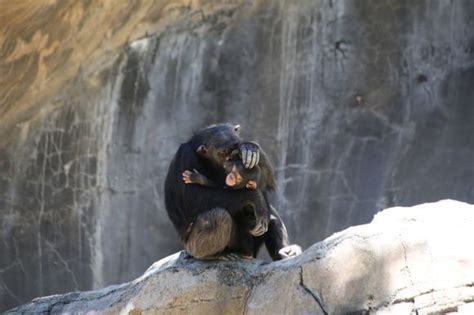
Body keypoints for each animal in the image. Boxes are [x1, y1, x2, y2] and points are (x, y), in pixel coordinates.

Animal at [165, 123, 302, 262]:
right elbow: (195, 199)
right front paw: (255, 197)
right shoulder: (185, 157)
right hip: (193, 247)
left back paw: (284, 251)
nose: (230, 158)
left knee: (271, 216)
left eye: (234, 148)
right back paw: (215, 255)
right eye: (224, 152)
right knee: (219, 216)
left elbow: (266, 184)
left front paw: (250, 148)